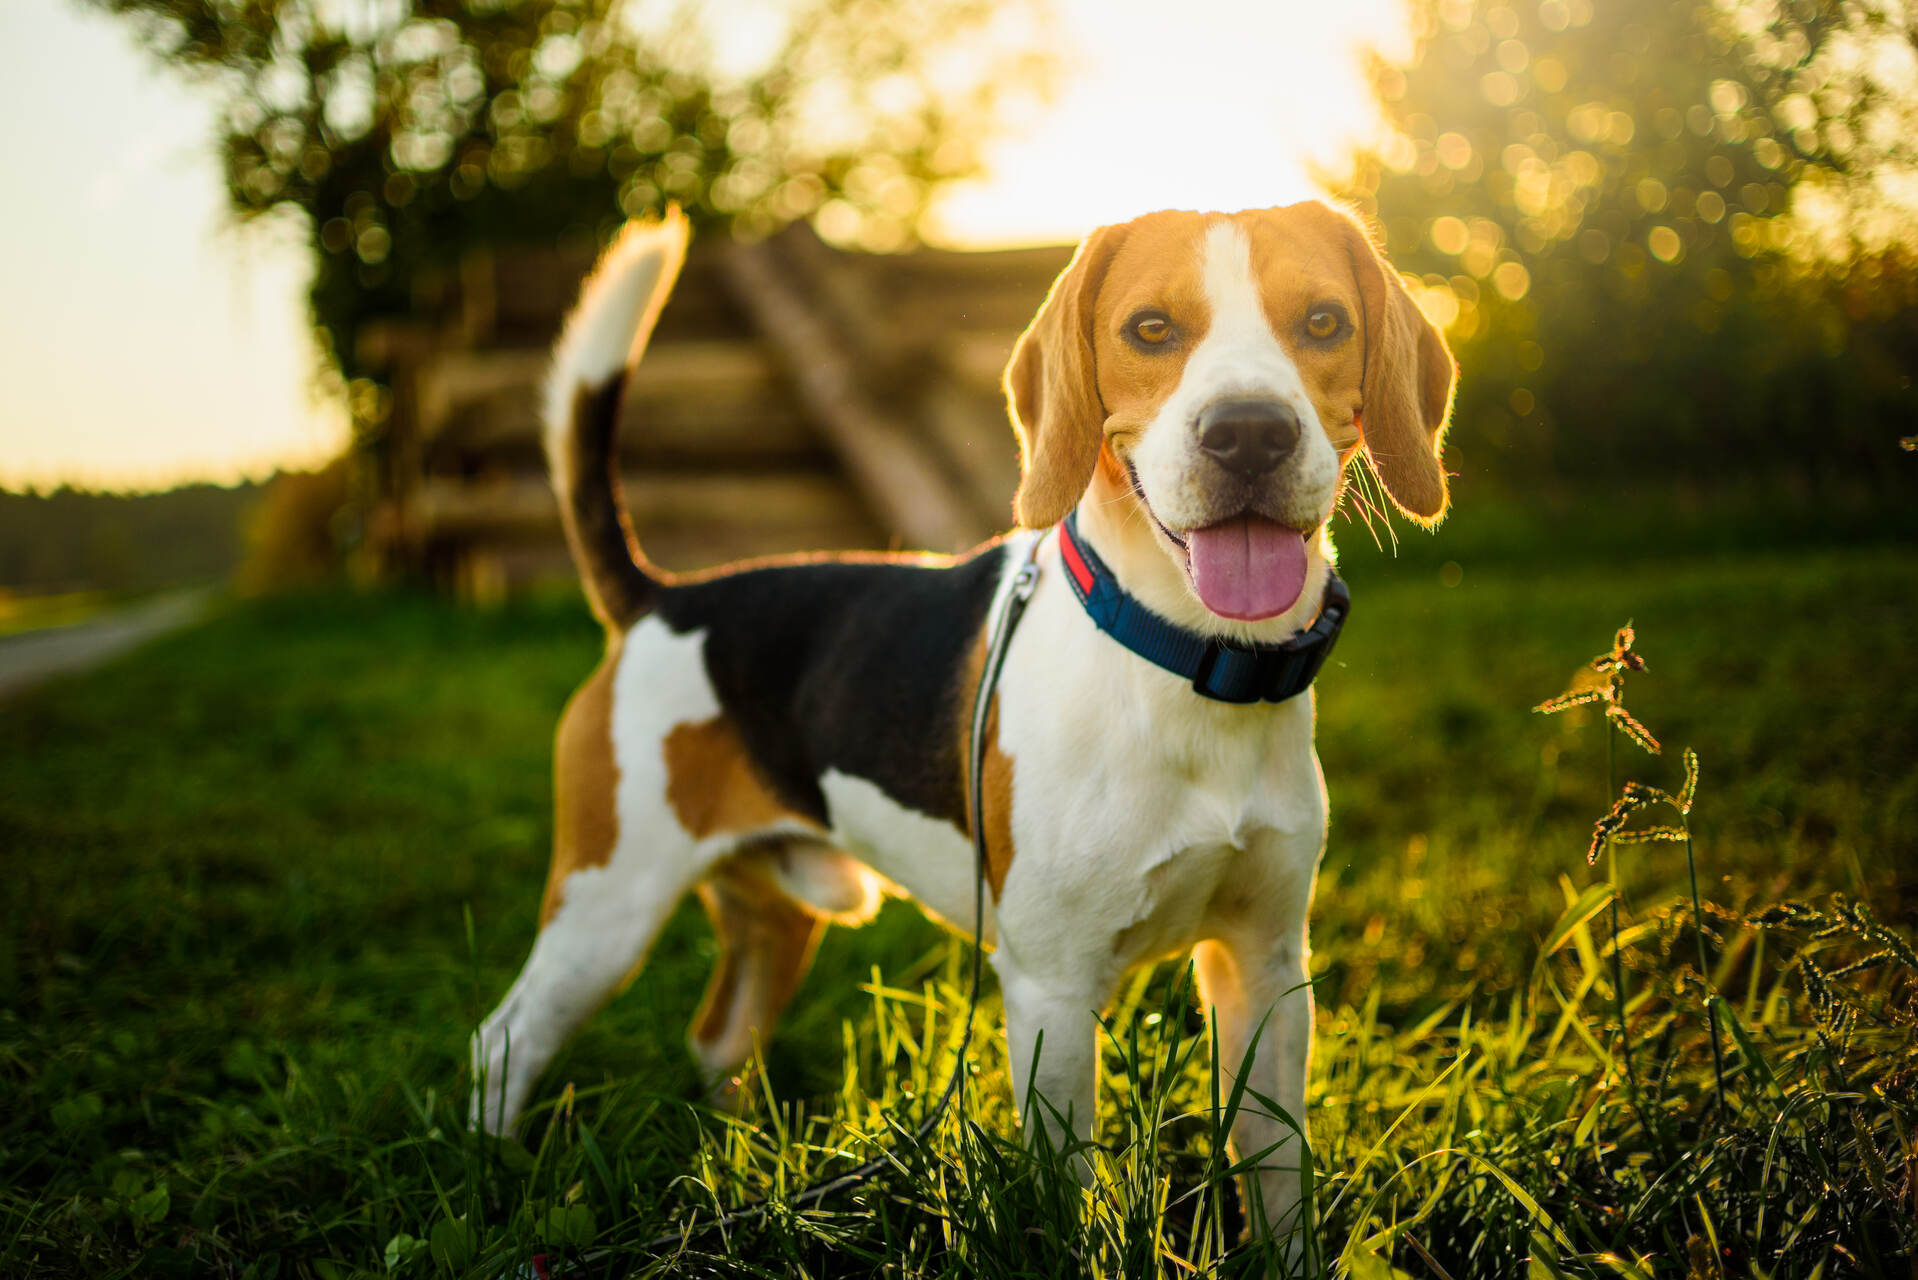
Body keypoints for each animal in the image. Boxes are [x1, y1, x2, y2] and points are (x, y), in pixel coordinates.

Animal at [475, 202, 1450, 1251]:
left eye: (1323, 322)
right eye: (1150, 329)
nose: (1249, 433)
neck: (1192, 664)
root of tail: (662, 598)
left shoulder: (1265, 968)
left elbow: (1275, 1171)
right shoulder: (1050, 990)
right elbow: (1069, 1199)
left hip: (773, 918)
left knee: (718, 1040)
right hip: (605, 908)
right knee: (503, 1041)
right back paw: (493, 1188)